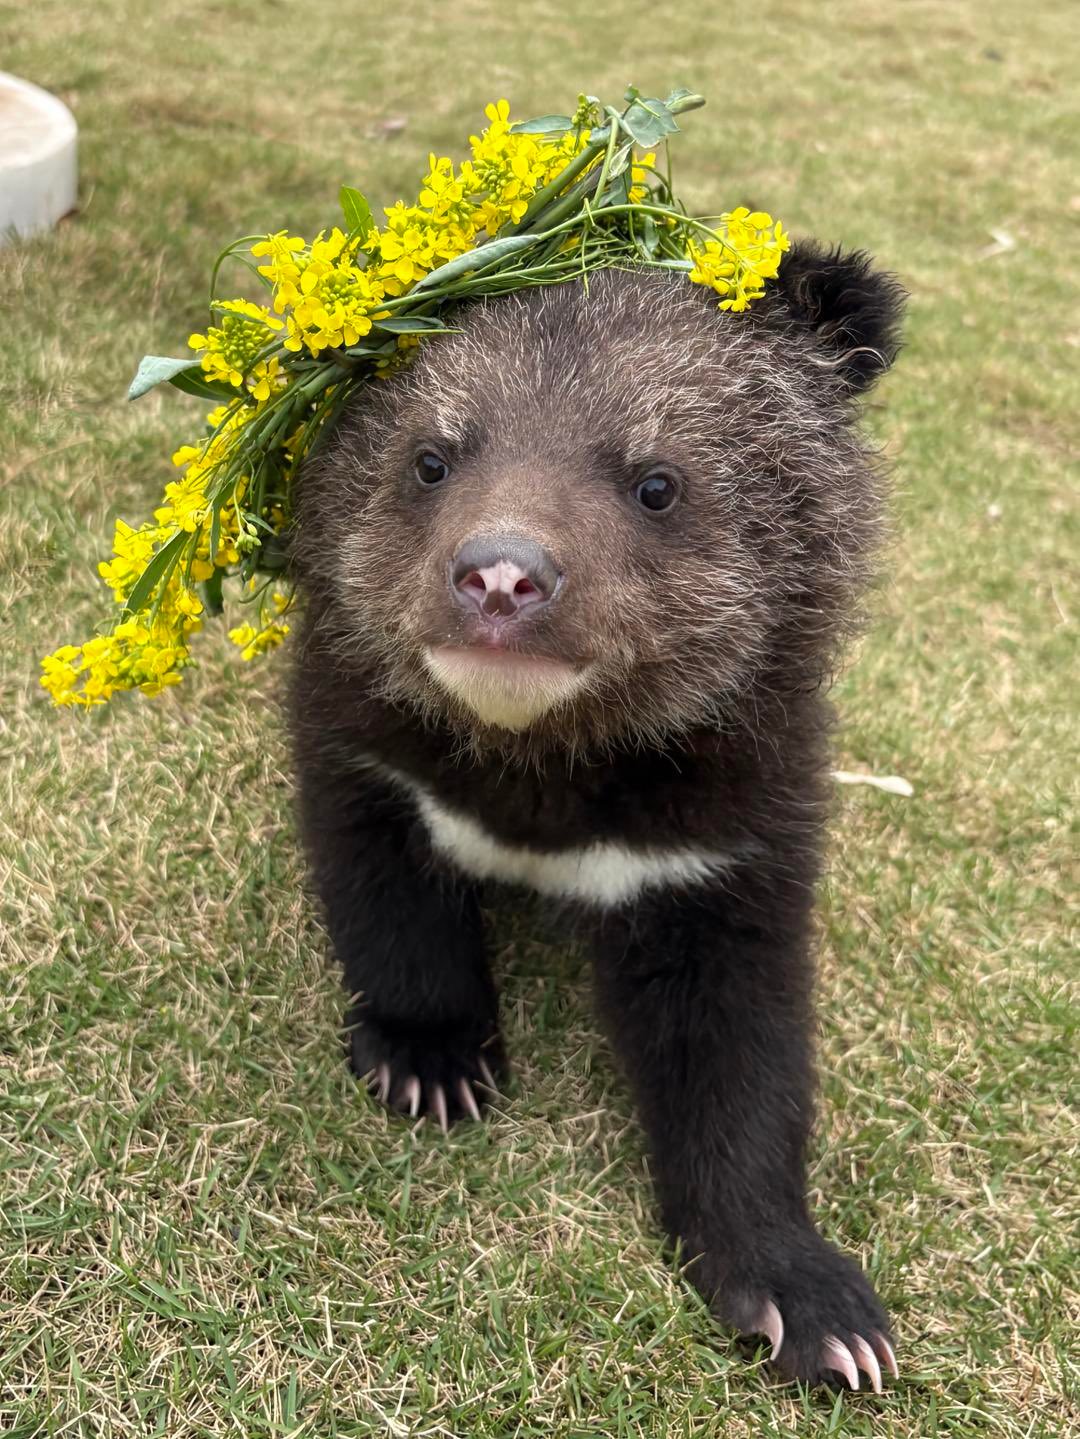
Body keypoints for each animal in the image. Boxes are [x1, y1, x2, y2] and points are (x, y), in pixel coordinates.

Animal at [288, 242, 906, 1390]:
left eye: (656, 483)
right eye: (430, 460)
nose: (497, 577)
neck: (543, 755)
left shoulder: (724, 820)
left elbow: (735, 1029)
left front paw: (814, 1305)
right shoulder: (362, 726)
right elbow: (379, 878)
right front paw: (434, 1062)